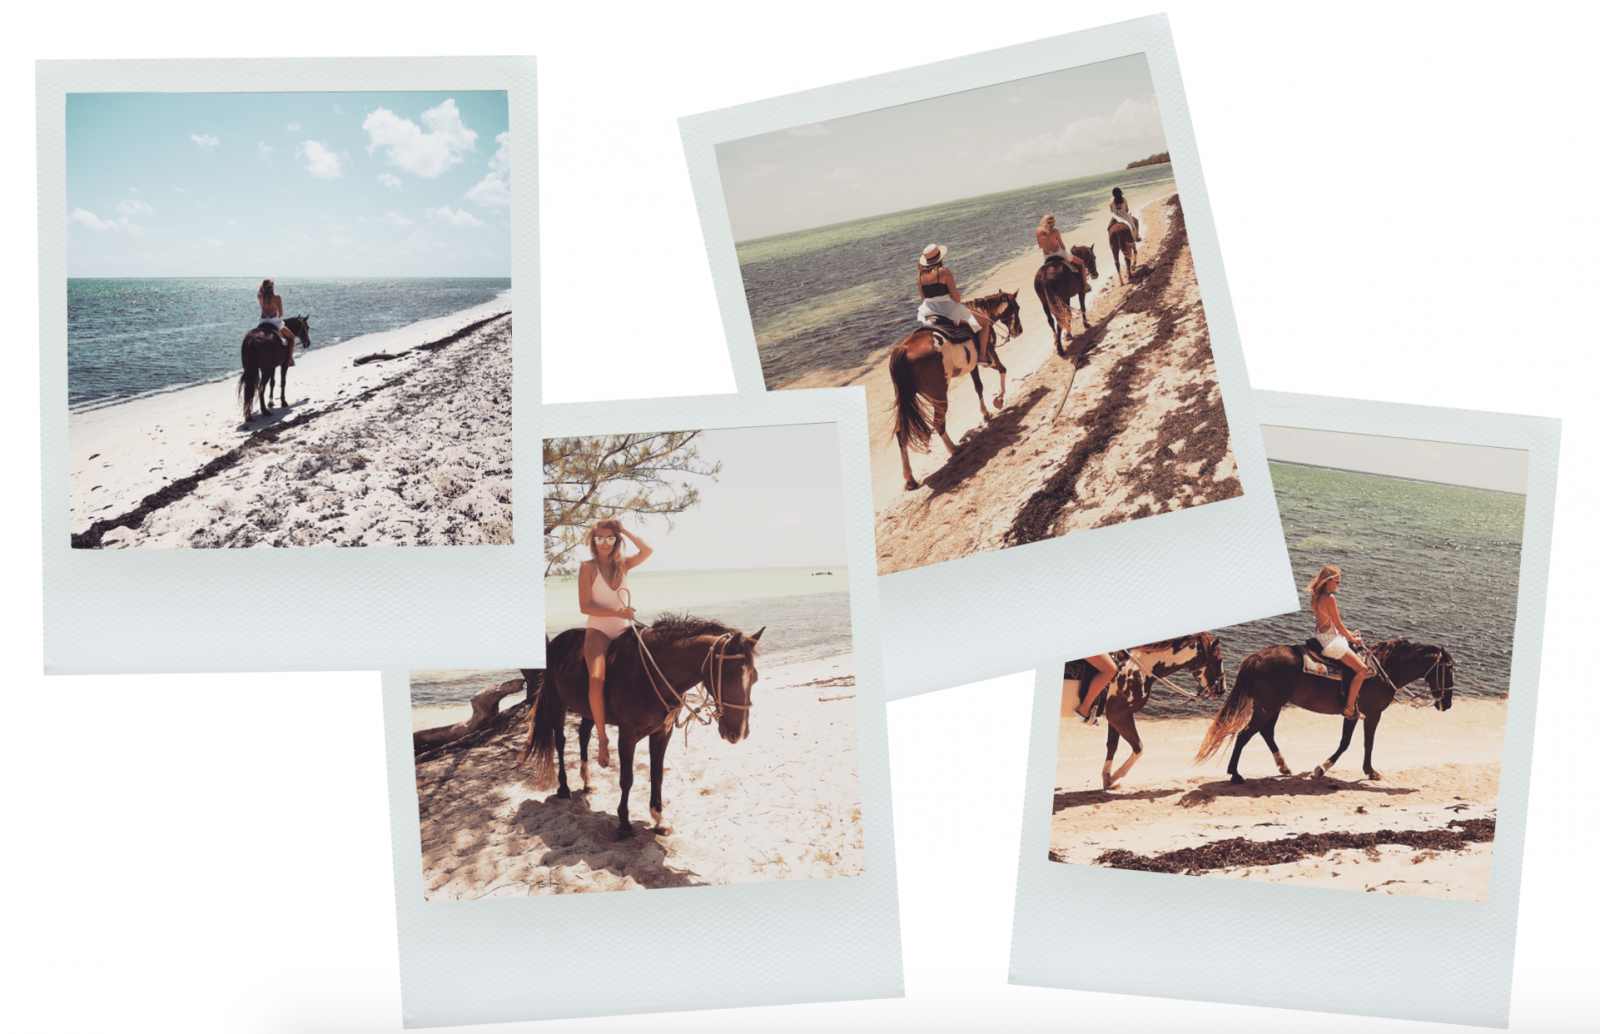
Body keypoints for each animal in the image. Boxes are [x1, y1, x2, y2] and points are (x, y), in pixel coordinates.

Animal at [512, 614, 761, 845]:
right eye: (728, 678)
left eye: (755, 679)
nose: (739, 732)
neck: (652, 673)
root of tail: (556, 642)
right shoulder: (627, 736)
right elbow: (627, 779)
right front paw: (624, 823)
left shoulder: (662, 733)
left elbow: (657, 775)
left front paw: (660, 819)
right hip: (557, 703)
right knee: (561, 741)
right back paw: (563, 787)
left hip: (588, 709)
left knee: (583, 735)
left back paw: (588, 782)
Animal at [889, 288, 1024, 489]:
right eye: (1016, 308)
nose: (1019, 331)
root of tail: (903, 348)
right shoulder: (989, 355)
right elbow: (1001, 371)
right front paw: (998, 400)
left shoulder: (973, 365)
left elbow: (978, 387)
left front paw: (986, 411)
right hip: (939, 395)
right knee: (938, 423)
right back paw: (953, 448)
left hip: (906, 399)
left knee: (901, 431)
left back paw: (910, 478)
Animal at [1068, 630, 1228, 793]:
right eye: (1219, 660)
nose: (1222, 690)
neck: (1136, 668)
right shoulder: (1119, 716)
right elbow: (1139, 748)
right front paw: (1114, 777)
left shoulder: (1115, 718)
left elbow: (1112, 745)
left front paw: (1108, 779)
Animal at [1196, 640, 1459, 787]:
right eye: (1448, 669)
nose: (1447, 703)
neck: (1384, 670)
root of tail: (1258, 656)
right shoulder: (1368, 714)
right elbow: (1355, 743)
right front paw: (1325, 768)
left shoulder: (1358, 715)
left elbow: (1357, 743)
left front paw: (1364, 771)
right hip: (1268, 707)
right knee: (1245, 735)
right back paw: (1235, 774)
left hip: (1273, 706)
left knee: (1266, 733)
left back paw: (1283, 767)